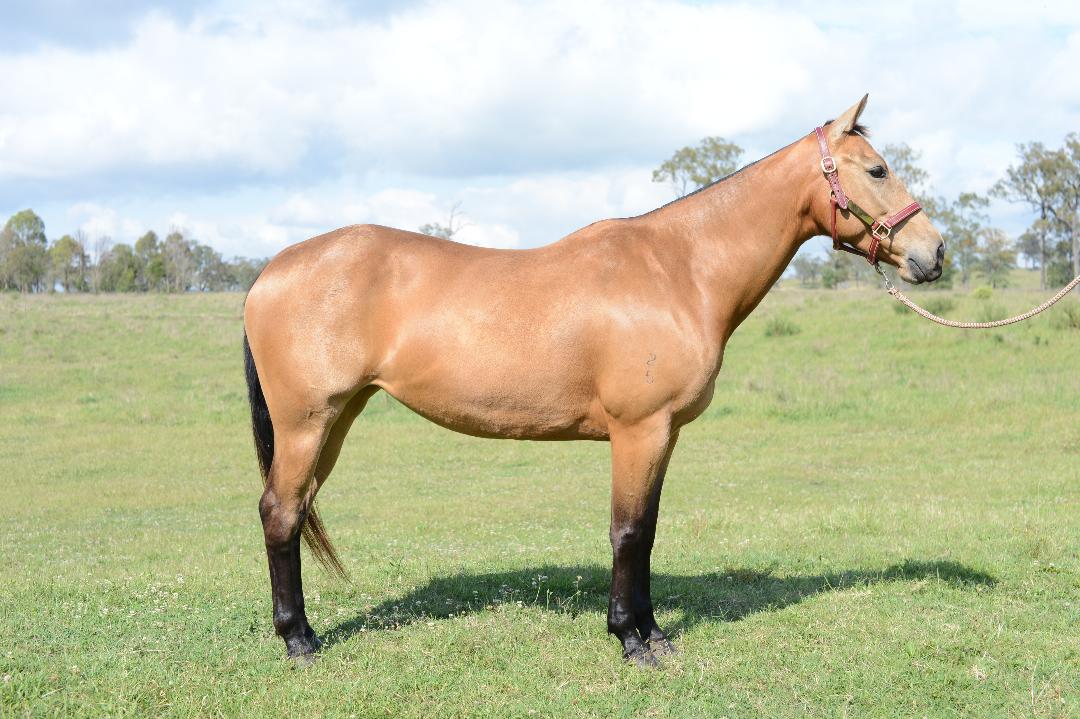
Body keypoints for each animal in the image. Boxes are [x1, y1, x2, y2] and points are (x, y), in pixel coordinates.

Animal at [242, 95, 945, 666]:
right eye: (877, 169)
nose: (933, 253)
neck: (678, 270)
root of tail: (271, 270)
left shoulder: (662, 435)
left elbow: (648, 530)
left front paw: (654, 633)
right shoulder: (639, 430)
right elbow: (627, 531)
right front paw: (631, 640)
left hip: (337, 420)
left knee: (296, 509)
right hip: (307, 423)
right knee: (280, 512)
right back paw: (299, 641)